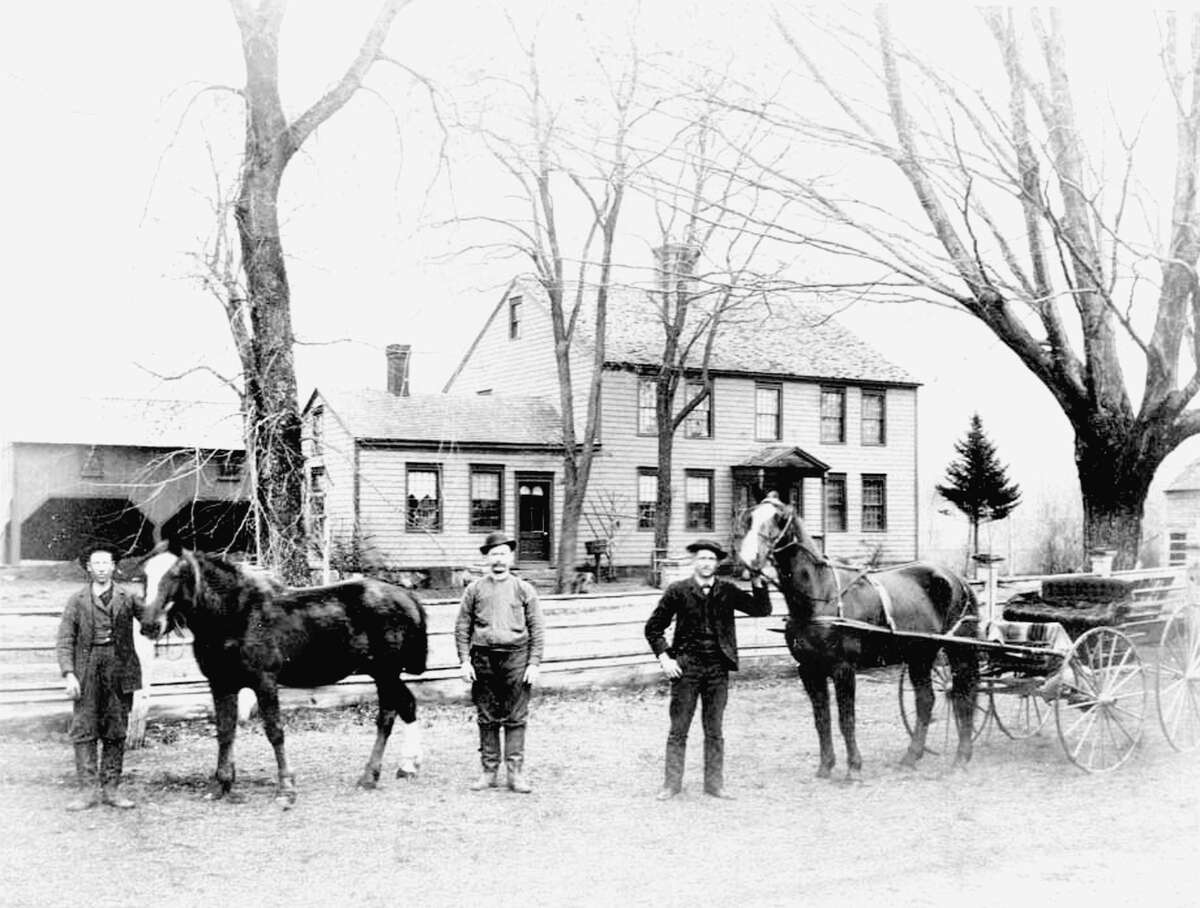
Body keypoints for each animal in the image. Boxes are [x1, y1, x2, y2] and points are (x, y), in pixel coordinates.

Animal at [140, 542, 427, 806]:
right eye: (143, 575)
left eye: (178, 573)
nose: (149, 625)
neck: (236, 614)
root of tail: (406, 596)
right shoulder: (221, 684)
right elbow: (225, 731)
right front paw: (221, 785)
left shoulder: (265, 681)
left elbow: (274, 731)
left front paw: (286, 788)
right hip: (383, 673)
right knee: (407, 705)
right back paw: (407, 766)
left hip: (386, 673)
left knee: (387, 717)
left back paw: (370, 776)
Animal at [734, 491, 979, 777]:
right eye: (750, 517)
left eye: (779, 518)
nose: (748, 560)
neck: (821, 595)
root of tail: (959, 580)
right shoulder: (809, 670)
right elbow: (822, 720)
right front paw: (825, 766)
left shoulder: (843, 668)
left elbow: (846, 720)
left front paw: (854, 768)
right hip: (920, 655)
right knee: (926, 700)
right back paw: (912, 756)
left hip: (959, 650)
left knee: (963, 696)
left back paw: (961, 757)